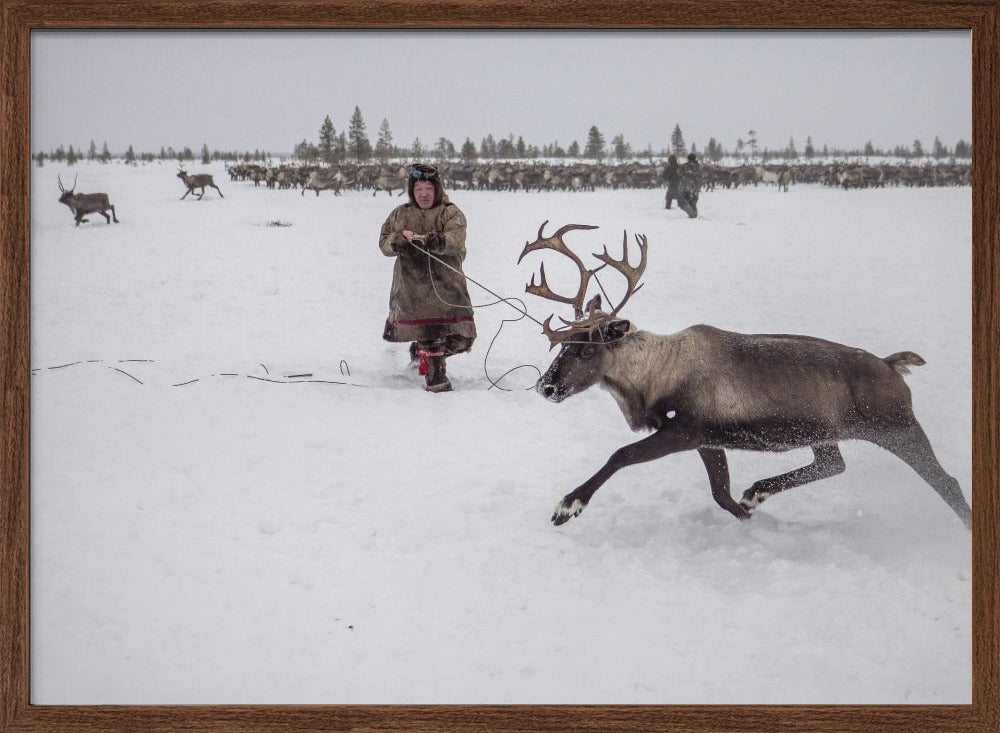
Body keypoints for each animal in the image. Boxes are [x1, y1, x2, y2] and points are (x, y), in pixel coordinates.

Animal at [518, 222, 972, 531]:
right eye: (562, 344)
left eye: (586, 348)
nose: (546, 386)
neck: (654, 376)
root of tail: (893, 364)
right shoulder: (707, 439)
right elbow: (720, 493)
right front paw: (748, 514)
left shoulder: (685, 430)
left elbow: (621, 455)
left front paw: (568, 505)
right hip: (825, 432)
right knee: (834, 463)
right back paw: (758, 491)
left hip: (897, 426)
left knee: (946, 481)